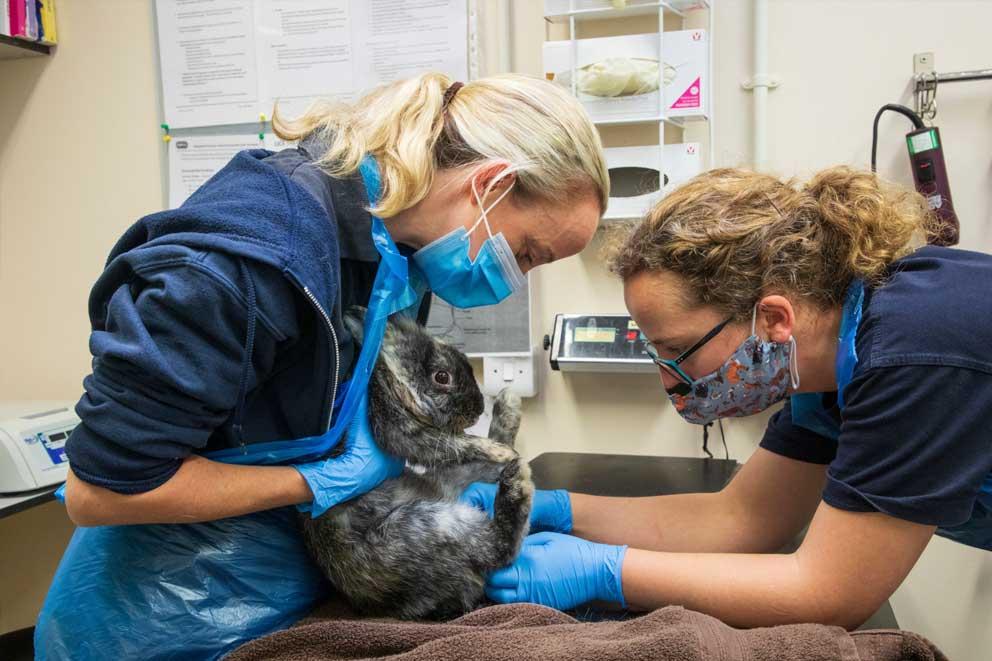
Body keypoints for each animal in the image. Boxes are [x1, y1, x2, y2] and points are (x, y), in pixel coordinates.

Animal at [300, 308, 536, 620]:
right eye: (442, 376)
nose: (478, 410)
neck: (388, 379)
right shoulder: (401, 432)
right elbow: (457, 443)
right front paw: (496, 451)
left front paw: (501, 447)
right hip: (428, 526)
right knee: (499, 548)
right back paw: (516, 475)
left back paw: (509, 413)